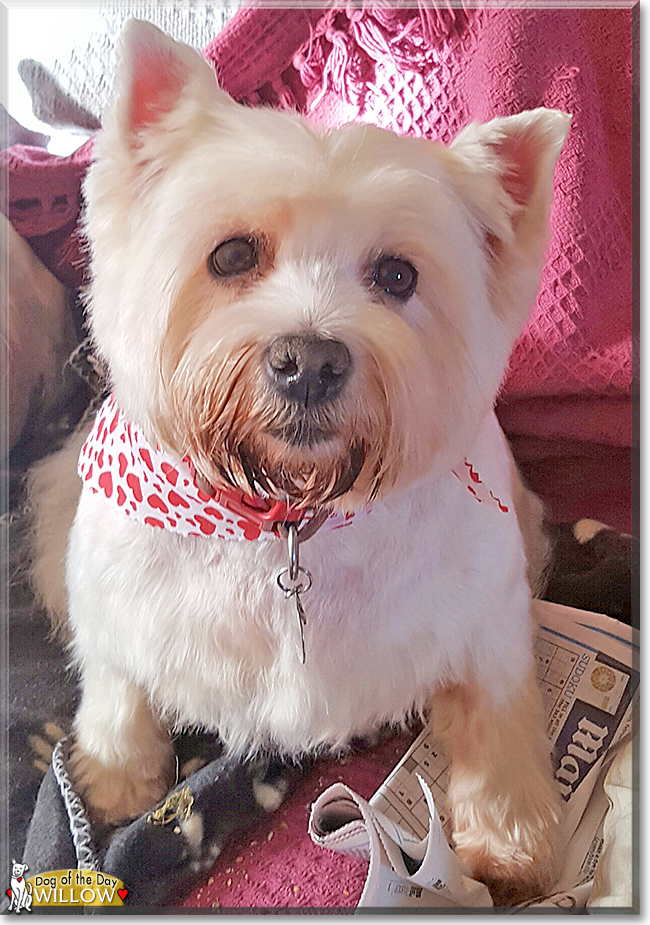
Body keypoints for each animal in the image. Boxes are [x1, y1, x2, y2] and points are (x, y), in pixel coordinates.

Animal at [30, 19, 568, 904]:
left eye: (397, 274)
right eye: (231, 255)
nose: (309, 362)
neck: (284, 517)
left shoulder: (486, 619)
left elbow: (499, 720)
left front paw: (514, 840)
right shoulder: (114, 603)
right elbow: (117, 691)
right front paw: (112, 786)